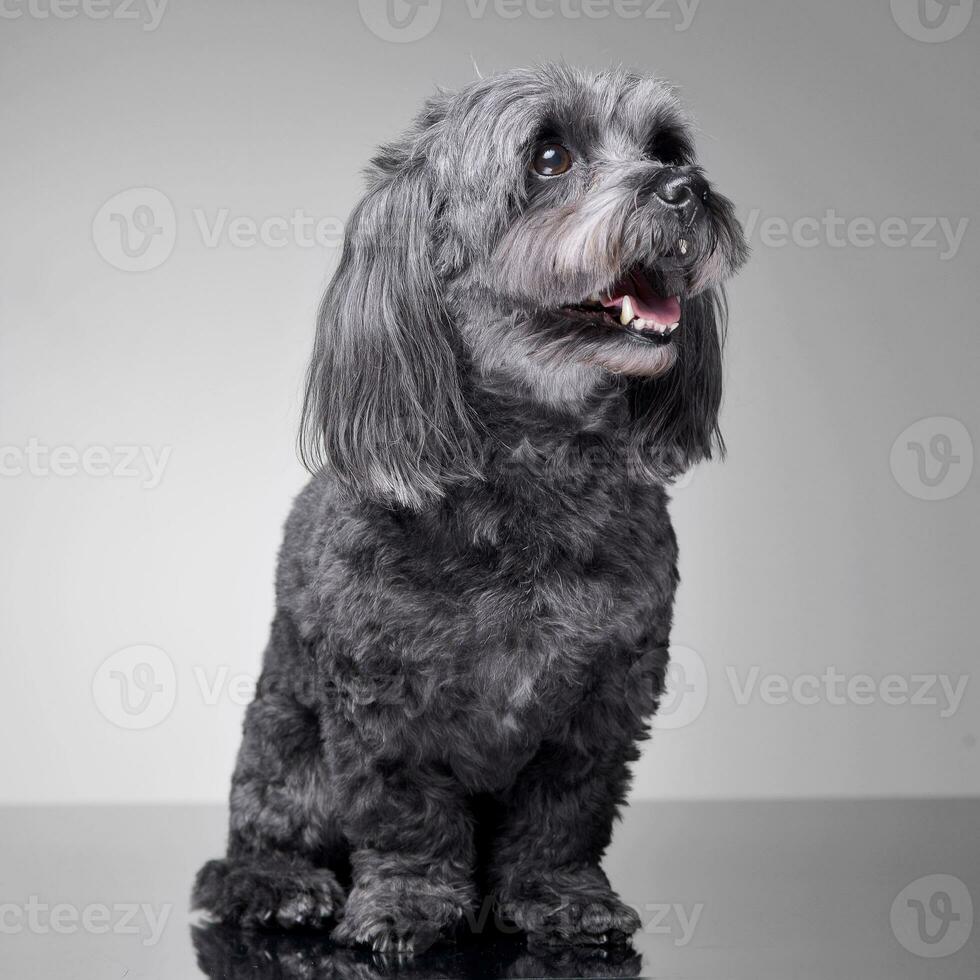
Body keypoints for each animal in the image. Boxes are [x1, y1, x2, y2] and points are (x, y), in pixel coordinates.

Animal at [191, 65, 748, 952]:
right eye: (549, 157)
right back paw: (278, 885)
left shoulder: (605, 696)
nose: (684, 189)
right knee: (243, 850)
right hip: (285, 748)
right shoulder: (382, 703)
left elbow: (566, 811)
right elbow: (404, 812)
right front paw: (410, 901)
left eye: (667, 148)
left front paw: (561, 895)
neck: (534, 467)